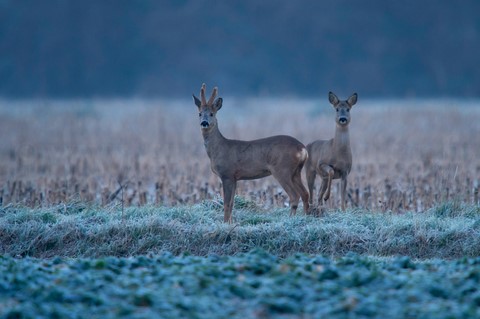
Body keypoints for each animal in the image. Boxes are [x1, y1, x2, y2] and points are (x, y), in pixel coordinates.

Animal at [193, 84, 310, 224]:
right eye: (199, 113)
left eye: (211, 113)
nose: (204, 122)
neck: (219, 148)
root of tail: (302, 148)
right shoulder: (235, 177)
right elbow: (232, 203)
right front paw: (230, 222)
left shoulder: (227, 174)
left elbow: (227, 203)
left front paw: (225, 223)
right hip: (296, 171)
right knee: (305, 193)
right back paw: (306, 217)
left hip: (283, 169)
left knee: (294, 195)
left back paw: (290, 220)